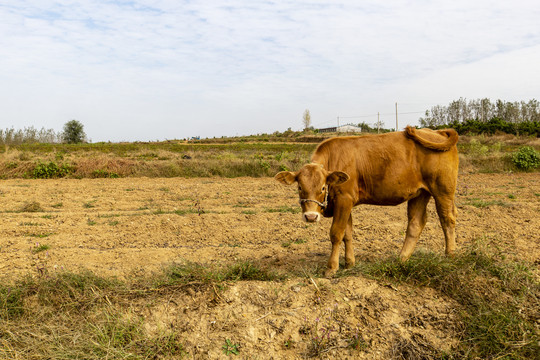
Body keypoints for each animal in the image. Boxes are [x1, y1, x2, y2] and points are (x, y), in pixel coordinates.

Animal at [276, 128, 458, 278]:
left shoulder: (344, 199)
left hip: (443, 191)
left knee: (447, 219)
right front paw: (349, 263)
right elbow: (347, 234)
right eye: (300, 187)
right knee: (416, 223)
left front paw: (331, 268)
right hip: (420, 194)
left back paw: (450, 255)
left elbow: (336, 234)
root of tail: (436, 131)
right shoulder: (345, 203)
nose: (311, 217)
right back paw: (401, 259)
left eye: (322, 187)